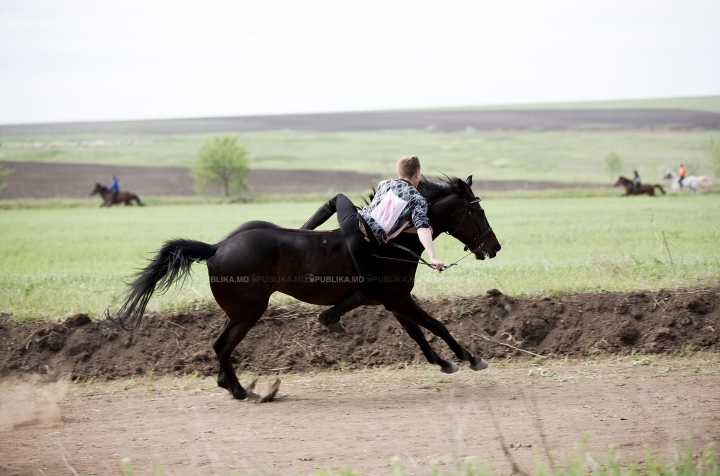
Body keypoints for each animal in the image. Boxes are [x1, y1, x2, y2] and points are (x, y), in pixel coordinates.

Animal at [104, 177, 500, 400]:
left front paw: (444, 362)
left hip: (239, 311)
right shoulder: (397, 297)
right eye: (478, 212)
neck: (394, 241)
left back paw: (229, 384)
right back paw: (240, 390)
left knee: (221, 346)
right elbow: (437, 325)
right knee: (221, 346)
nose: (494, 246)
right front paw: (470, 358)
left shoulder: (392, 301)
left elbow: (418, 333)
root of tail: (216, 248)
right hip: (250, 311)